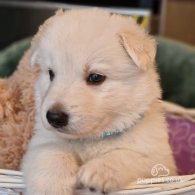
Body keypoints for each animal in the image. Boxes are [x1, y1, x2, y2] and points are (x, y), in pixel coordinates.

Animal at [21, 8, 177, 195]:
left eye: (95, 77)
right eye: (51, 73)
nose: (54, 117)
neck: (92, 139)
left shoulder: (158, 157)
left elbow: (129, 155)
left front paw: (98, 172)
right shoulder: (40, 143)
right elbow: (51, 153)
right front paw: (51, 186)